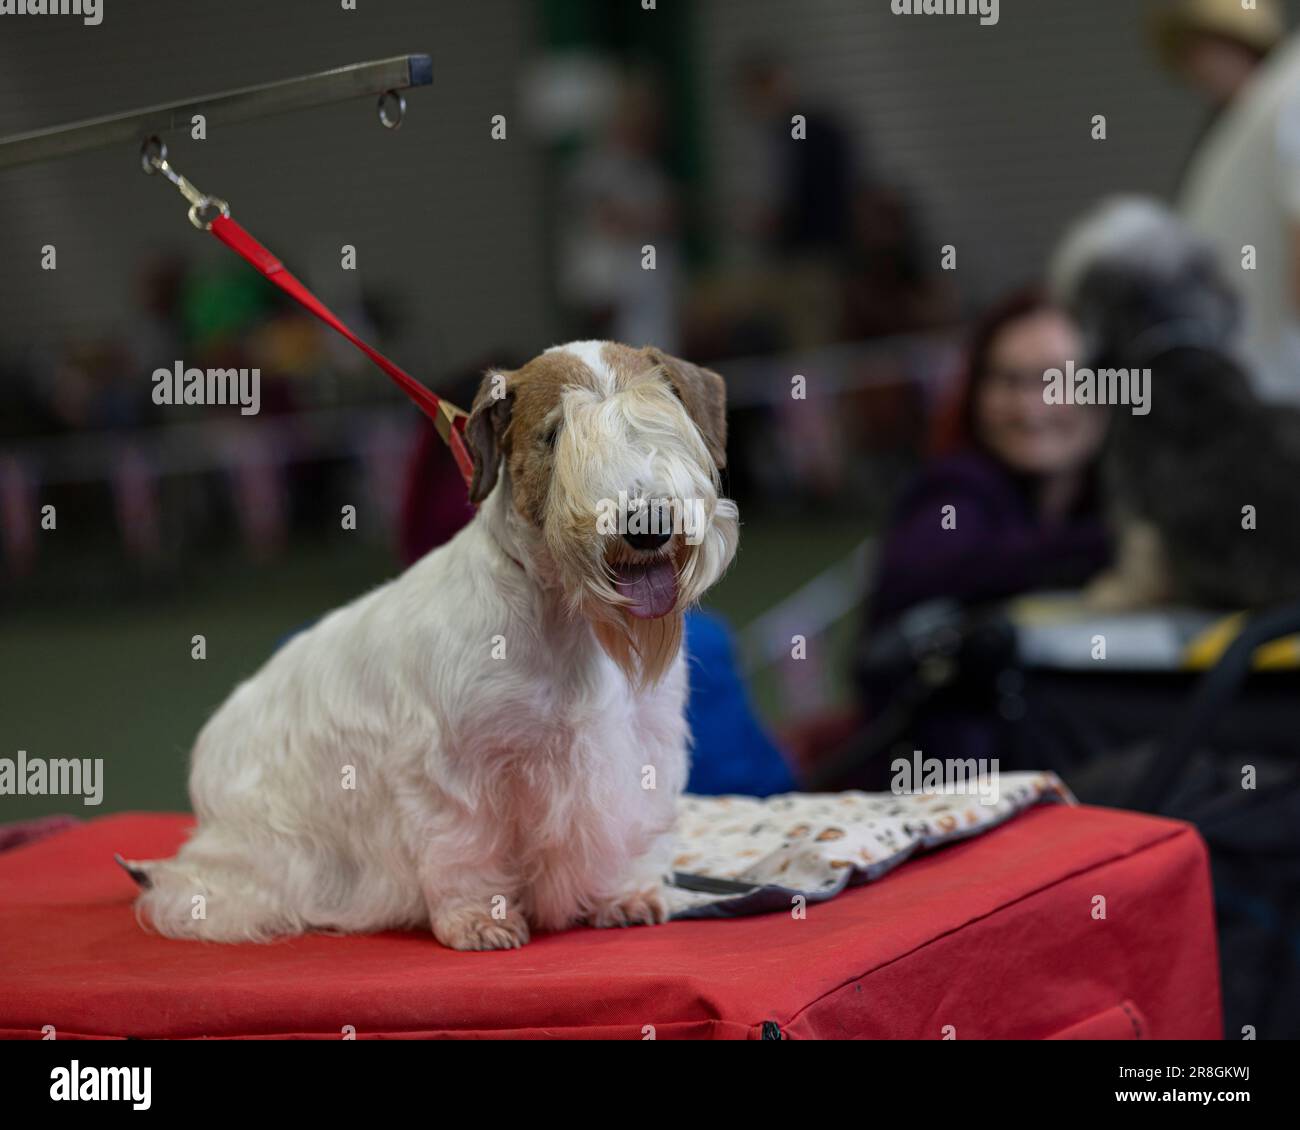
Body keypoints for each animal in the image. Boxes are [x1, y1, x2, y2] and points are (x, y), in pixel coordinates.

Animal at [130, 340, 743, 946]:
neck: (561, 614)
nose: (647, 523)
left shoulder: (638, 749)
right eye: (554, 435)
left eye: (661, 417)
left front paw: (623, 895)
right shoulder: (454, 768)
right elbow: (464, 849)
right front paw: (480, 919)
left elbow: (625, 829)